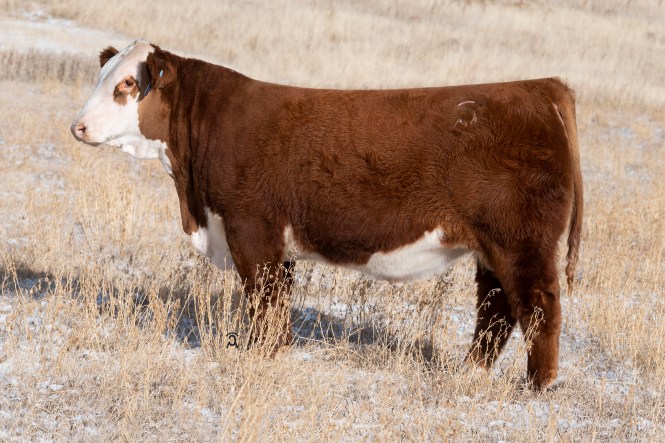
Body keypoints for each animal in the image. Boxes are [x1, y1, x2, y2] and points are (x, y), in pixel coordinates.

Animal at [71, 40, 583, 390]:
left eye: (127, 85)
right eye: (103, 78)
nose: (78, 126)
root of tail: (540, 87)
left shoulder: (249, 228)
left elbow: (263, 299)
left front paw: (259, 356)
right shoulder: (274, 242)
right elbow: (277, 300)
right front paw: (275, 351)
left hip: (520, 242)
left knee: (538, 306)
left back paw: (537, 386)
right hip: (493, 249)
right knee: (497, 309)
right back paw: (469, 373)